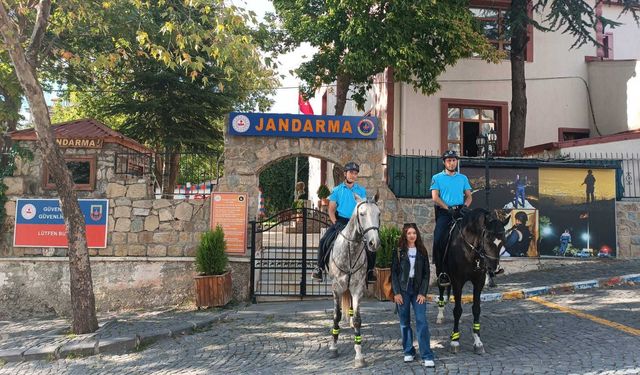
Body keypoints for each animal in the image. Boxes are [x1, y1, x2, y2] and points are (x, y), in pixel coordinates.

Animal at [324, 195, 380, 368]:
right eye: (362, 214)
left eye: (379, 213)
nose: (374, 243)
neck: (351, 249)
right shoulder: (336, 288)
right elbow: (336, 316)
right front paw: (333, 347)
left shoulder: (357, 289)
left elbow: (357, 320)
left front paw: (359, 356)